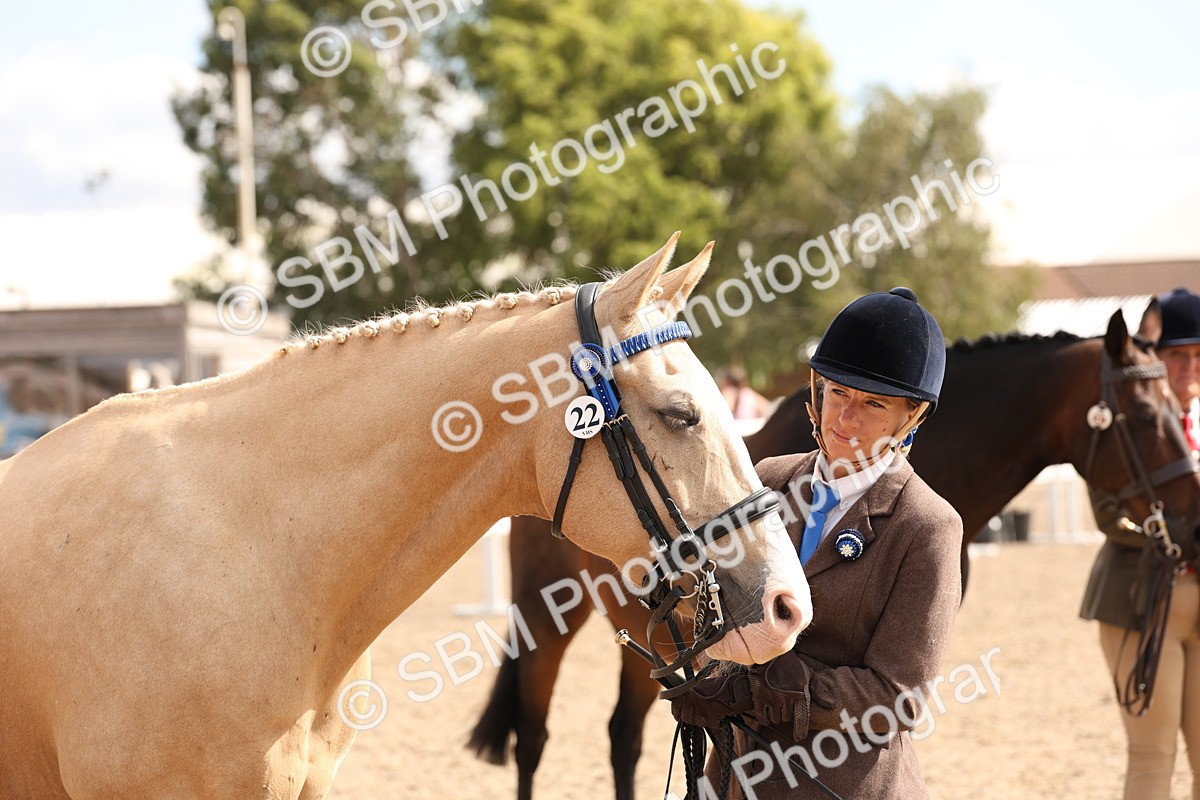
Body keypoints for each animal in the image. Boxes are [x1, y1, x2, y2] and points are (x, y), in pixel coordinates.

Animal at [469, 300, 1200, 800]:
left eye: (1176, 404)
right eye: (1144, 415)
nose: (1191, 526)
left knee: (623, 737)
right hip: (545, 618)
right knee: (533, 739)